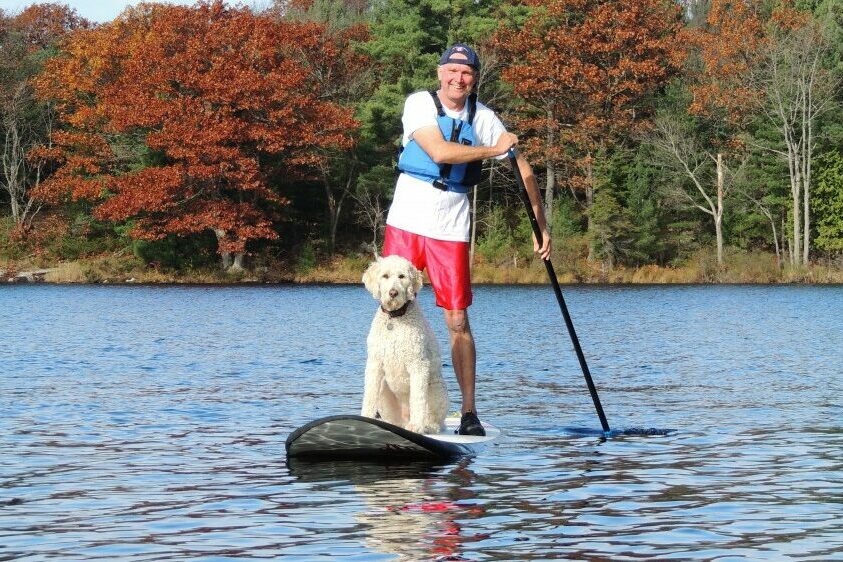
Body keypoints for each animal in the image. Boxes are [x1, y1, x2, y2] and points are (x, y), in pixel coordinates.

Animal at [362, 254, 448, 434]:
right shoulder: (374, 363)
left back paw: (427, 425)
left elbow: (417, 398)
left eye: (402, 276)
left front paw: (416, 426)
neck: (395, 319)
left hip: (436, 388)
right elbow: (369, 395)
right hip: (385, 392)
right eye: (385, 276)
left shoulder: (418, 364)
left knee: (434, 419)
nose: (393, 293)